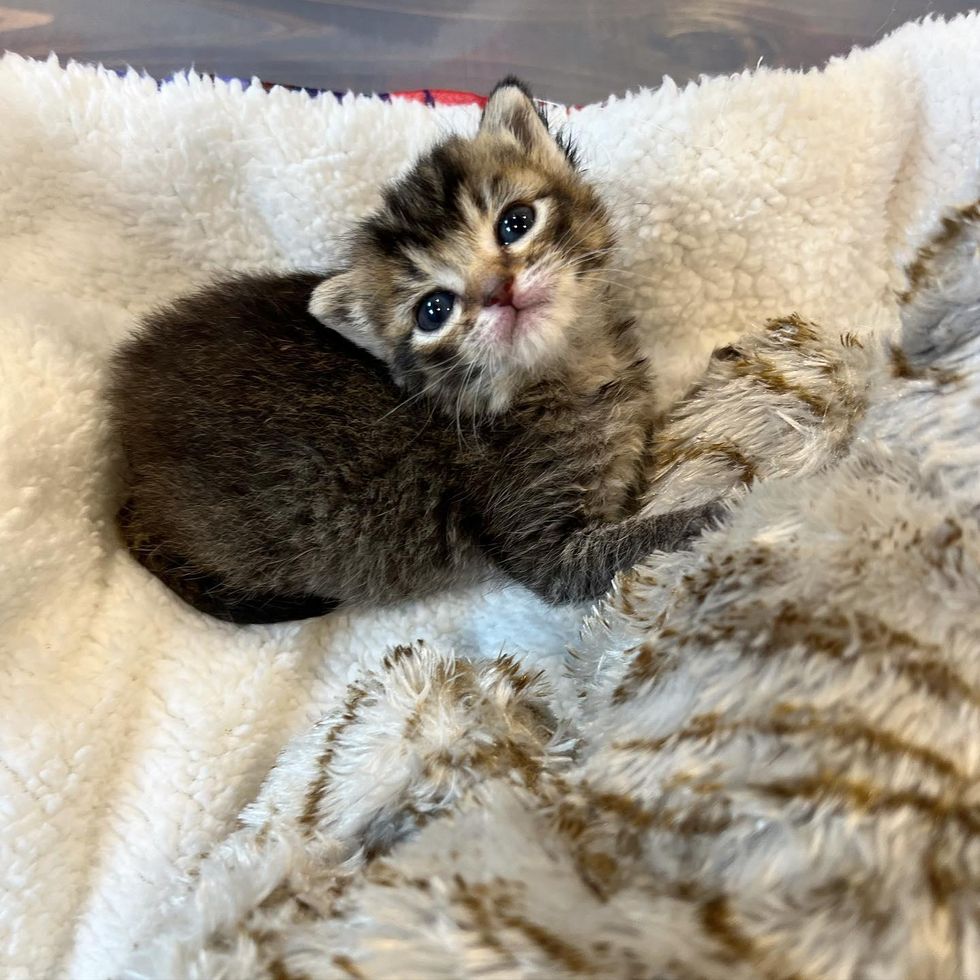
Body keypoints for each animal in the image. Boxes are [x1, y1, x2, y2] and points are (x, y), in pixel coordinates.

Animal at [109, 80, 720, 624]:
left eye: (515, 223)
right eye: (434, 310)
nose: (498, 291)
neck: (569, 370)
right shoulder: (540, 540)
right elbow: (631, 545)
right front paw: (725, 505)